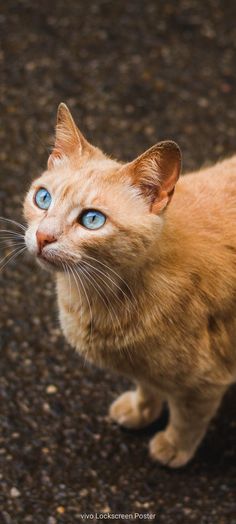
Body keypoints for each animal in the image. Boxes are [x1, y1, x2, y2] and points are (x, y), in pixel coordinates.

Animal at [23, 103, 235, 466]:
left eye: (92, 219)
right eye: (43, 198)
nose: (43, 236)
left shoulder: (206, 382)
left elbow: (187, 420)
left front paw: (173, 447)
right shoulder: (140, 366)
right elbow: (146, 385)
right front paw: (141, 410)